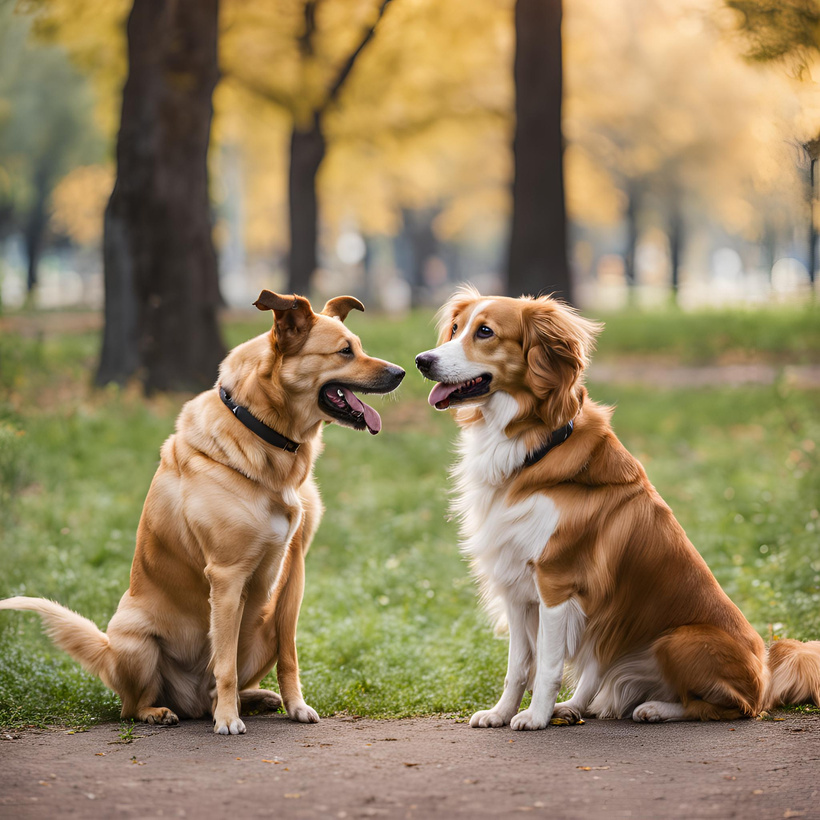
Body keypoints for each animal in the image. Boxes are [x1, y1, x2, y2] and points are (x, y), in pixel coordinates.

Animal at [0, 290, 404, 736]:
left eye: (360, 347)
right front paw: (227, 721)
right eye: (345, 351)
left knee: (219, 687)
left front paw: (296, 706)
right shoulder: (226, 577)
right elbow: (223, 664)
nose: (402, 372)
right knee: (133, 705)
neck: (265, 436)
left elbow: (290, 657)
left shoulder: (294, 573)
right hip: (134, 641)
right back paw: (166, 712)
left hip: (260, 625)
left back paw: (254, 699)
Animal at [416, 288, 820, 732]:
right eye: (455, 328)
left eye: (485, 332)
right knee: (601, 677)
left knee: (723, 706)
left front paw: (534, 717)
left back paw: (654, 709)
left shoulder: (556, 583)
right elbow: (519, 664)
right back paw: (574, 707)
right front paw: (502, 713)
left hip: (677, 640)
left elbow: (548, 665)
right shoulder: (517, 588)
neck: (535, 445)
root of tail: (766, 672)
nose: (422, 360)